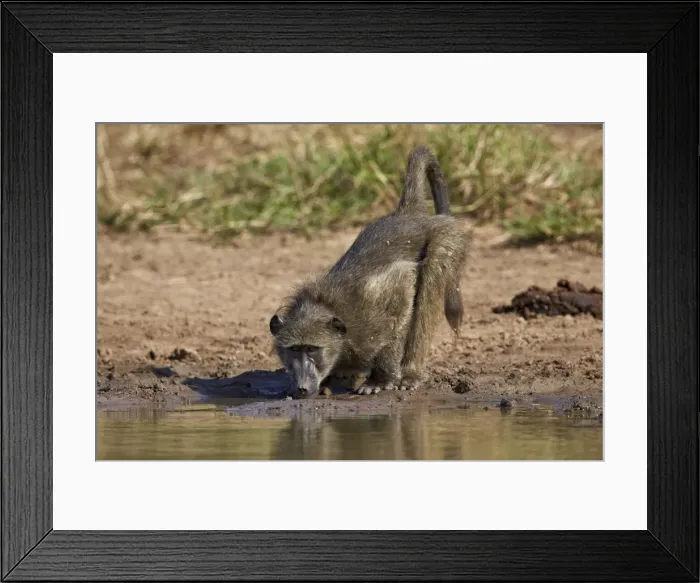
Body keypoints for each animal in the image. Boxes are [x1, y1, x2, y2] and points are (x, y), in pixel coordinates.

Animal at [269, 146, 469, 398]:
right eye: (295, 349)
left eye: (312, 349)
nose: (302, 388)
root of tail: (408, 214)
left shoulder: (380, 300)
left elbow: (402, 299)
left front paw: (380, 380)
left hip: (445, 238)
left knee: (429, 288)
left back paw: (410, 373)